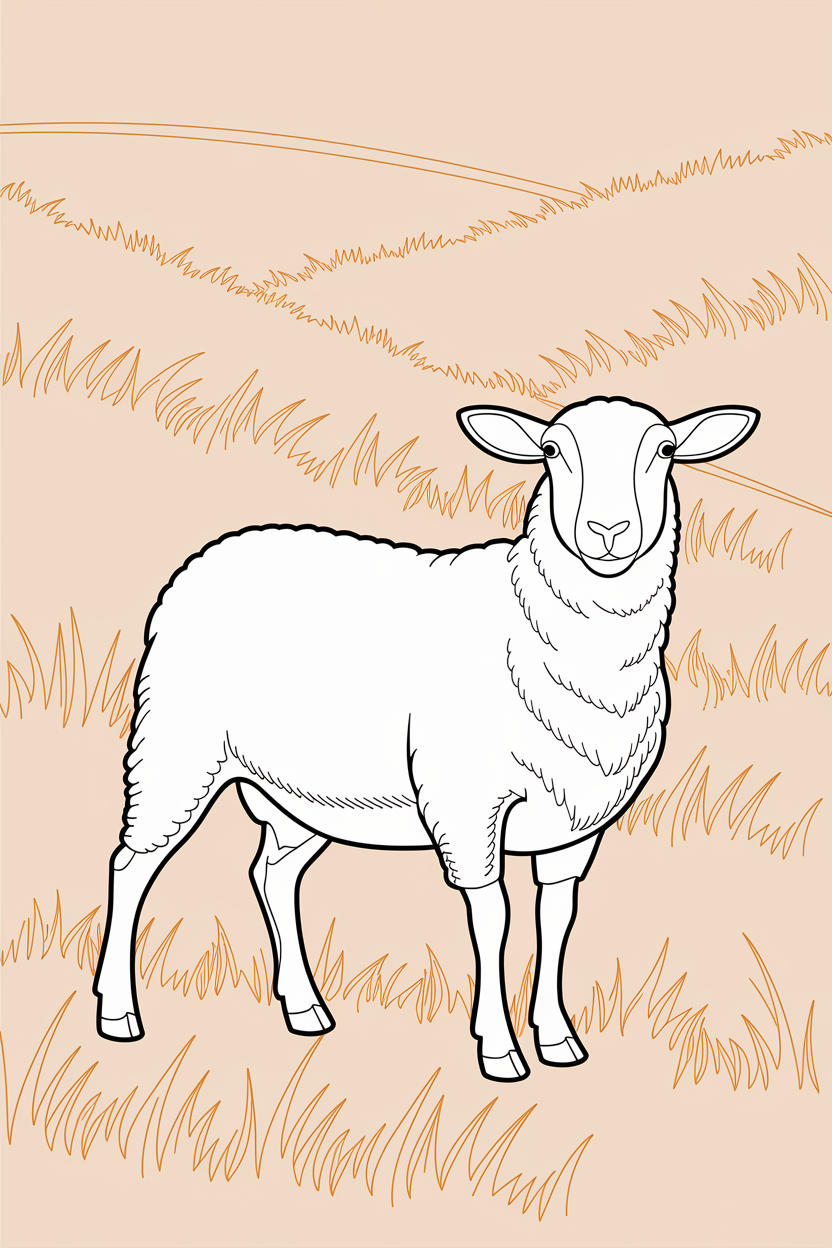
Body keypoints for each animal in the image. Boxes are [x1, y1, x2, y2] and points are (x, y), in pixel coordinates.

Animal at [93, 395, 759, 1082]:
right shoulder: (467, 806)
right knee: (131, 865)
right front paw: (500, 1048)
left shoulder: (575, 823)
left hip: (300, 795)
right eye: (551, 451)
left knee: (272, 873)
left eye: (664, 450)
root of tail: (211, 552)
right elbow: (494, 921)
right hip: (174, 751)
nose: (607, 529)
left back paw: (305, 1008)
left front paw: (557, 1038)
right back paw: (118, 1013)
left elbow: (557, 918)